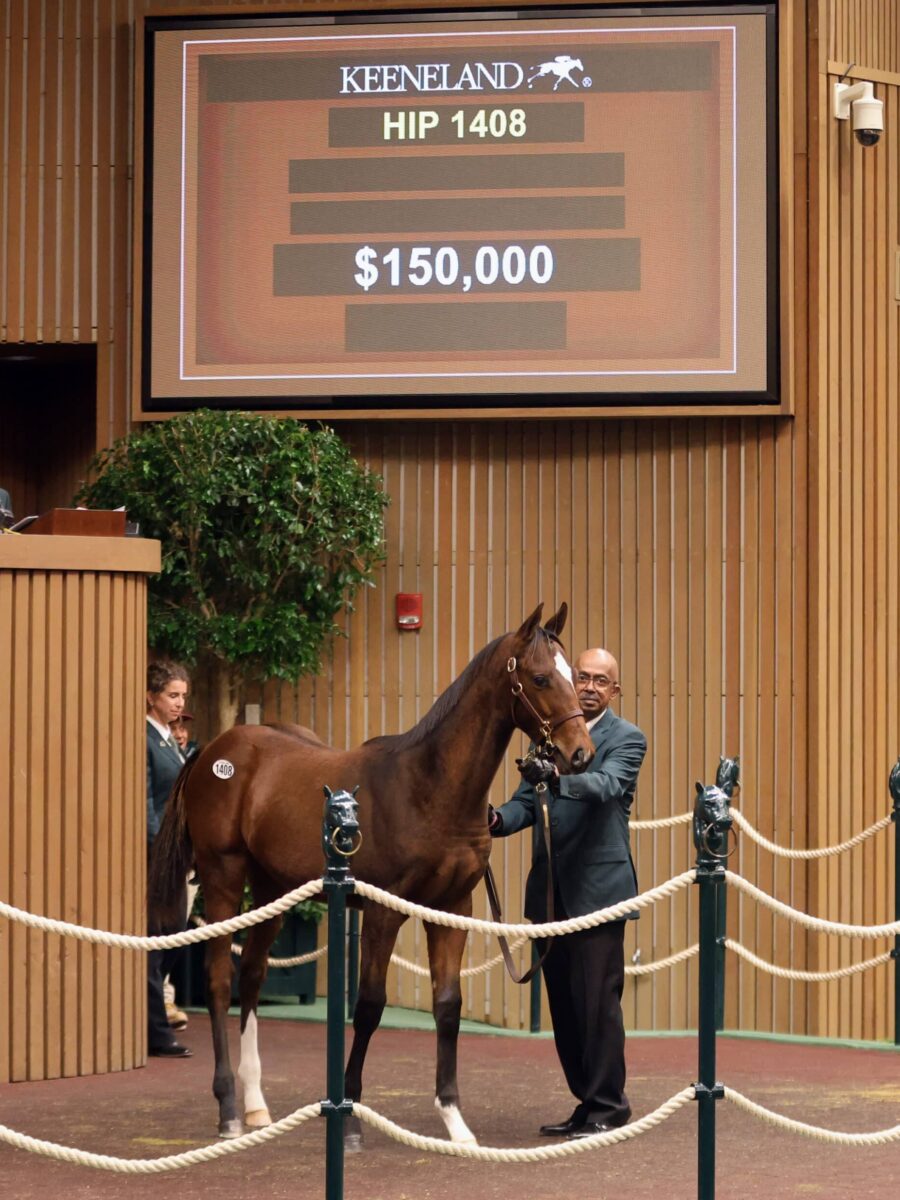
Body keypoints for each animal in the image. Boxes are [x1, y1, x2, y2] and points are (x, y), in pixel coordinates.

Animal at [150, 600, 595, 1142]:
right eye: (540, 677)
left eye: (575, 676)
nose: (580, 753)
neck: (428, 788)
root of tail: (211, 752)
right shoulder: (384, 913)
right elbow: (368, 1006)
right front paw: (350, 1117)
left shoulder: (452, 908)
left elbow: (448, 1005)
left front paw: (454, 1120)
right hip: (223, 880)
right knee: (219, 982)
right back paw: (229, 1110)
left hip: (274, 888)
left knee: (251, 977)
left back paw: (256, 1106)